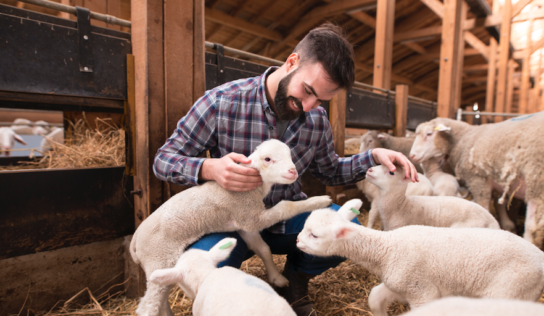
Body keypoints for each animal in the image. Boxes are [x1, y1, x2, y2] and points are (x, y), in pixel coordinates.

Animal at [296, 200, 544, 316]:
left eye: (314, 235)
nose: (297, 240)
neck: (386, 249)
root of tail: (540, 256)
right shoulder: (401, 284)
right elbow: (375, 297)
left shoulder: (423, 291)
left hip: (511, 290)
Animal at [408, 114, 544, 247]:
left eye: (429, 133)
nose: (412, 155)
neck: (464, 135)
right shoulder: (498, 178)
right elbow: (500, 203)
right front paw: (507, 224)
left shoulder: (477, 179)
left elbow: (484, 206)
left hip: (535, 178)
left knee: (531, 226)